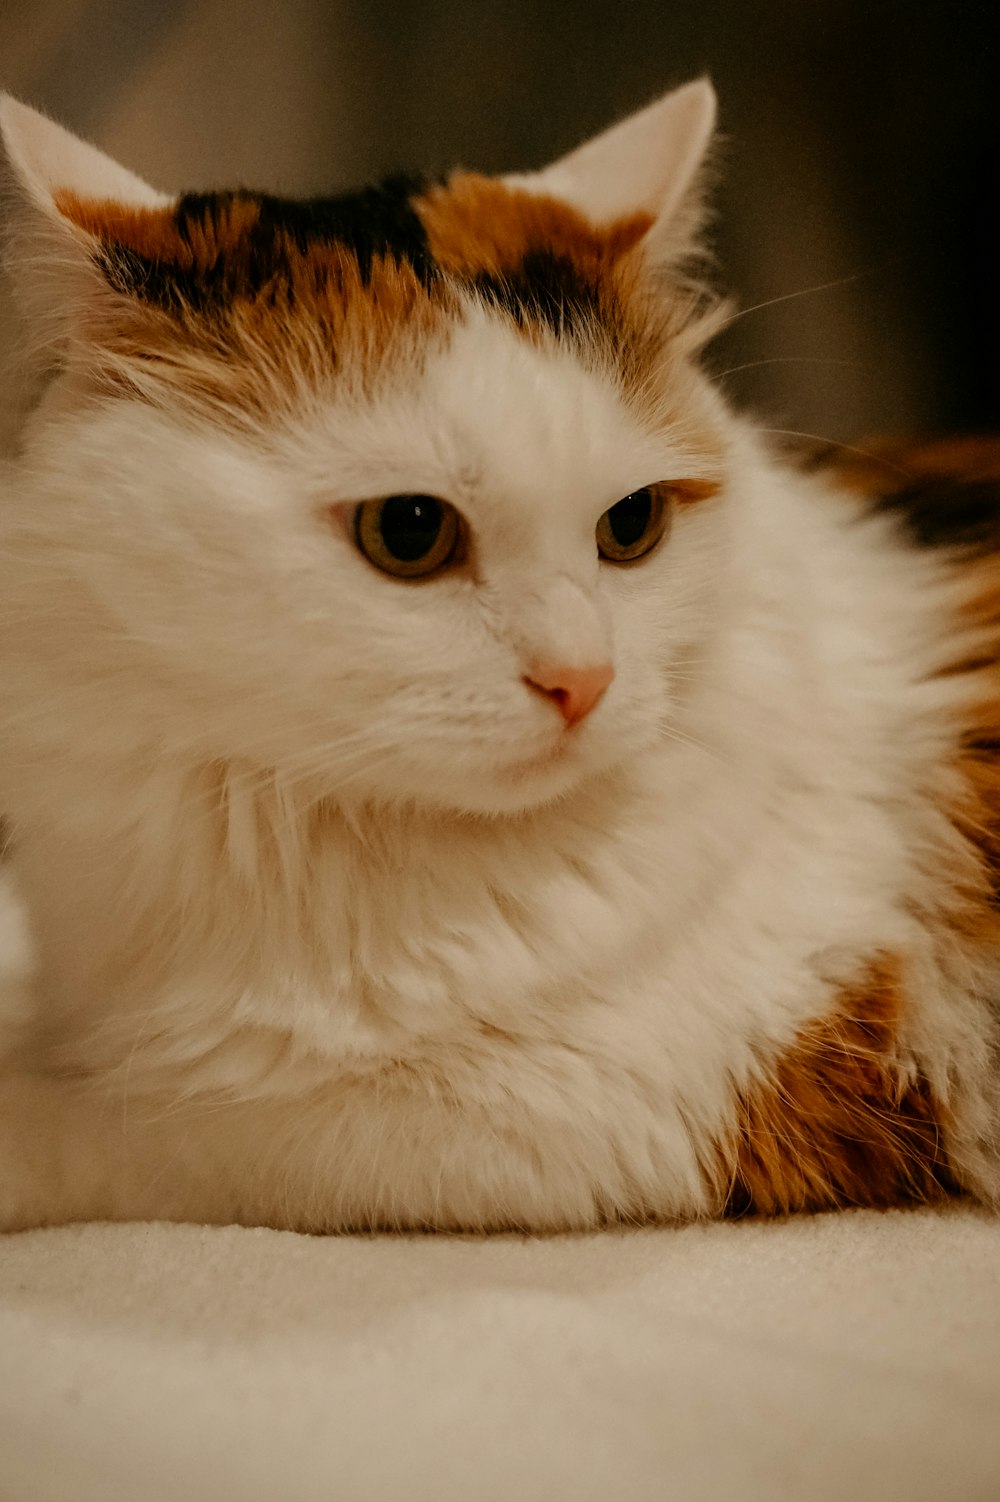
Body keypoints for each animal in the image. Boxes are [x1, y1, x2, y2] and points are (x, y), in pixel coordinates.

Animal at [0, 79, 990, 1231]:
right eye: (409, 531)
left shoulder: (581, 1106)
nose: (583, 680)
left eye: (631, 525)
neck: (273, 820)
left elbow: (148, 1119)